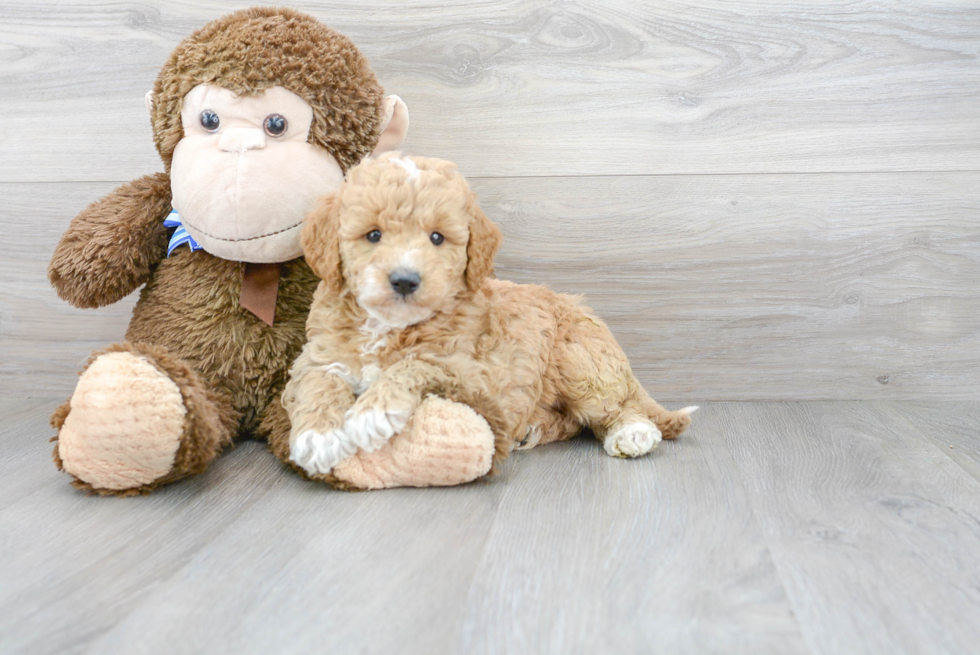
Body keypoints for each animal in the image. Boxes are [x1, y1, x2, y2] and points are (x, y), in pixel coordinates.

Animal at [284, 153, 696, 476]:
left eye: (437, 238)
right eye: (373, 235)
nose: (404, 280)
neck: (389, 326)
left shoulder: (470, 371)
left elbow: (414, 363)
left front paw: (371, 414)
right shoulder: (319, 353)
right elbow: (319, 382)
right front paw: (317, 437)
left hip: (579, 360)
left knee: (616, 407)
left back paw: (632, 433)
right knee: (573, 421)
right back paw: (533, 429)